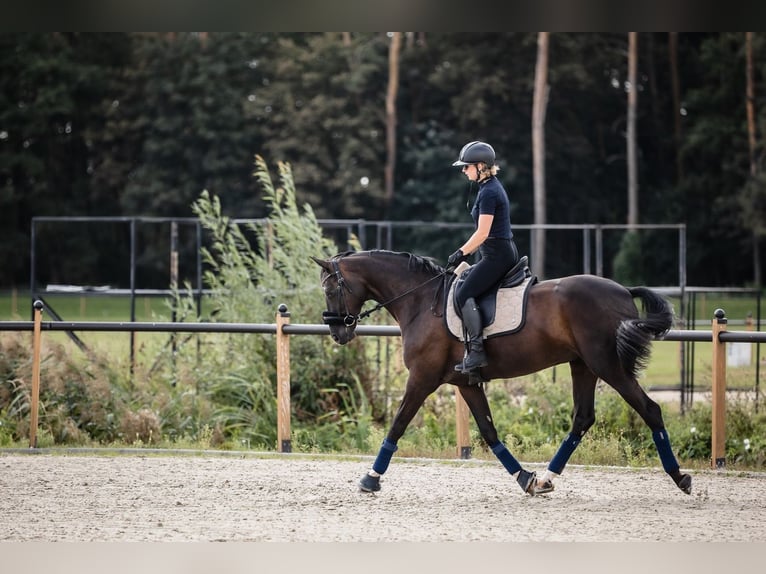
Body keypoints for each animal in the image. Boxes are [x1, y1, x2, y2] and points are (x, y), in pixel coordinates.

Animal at [312, 252, 696, 500]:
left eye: (330, 290)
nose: (337, 334)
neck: (420, 301)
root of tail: (623, 290)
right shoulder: (464, 383)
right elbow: (489, 431)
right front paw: (525, 477)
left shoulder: (422, 378)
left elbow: (398, 424)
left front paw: (370, 478)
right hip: (583, 366)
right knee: (583, 418)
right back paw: (546, 479)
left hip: (607, 366)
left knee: (650, 410)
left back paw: (681, 478)